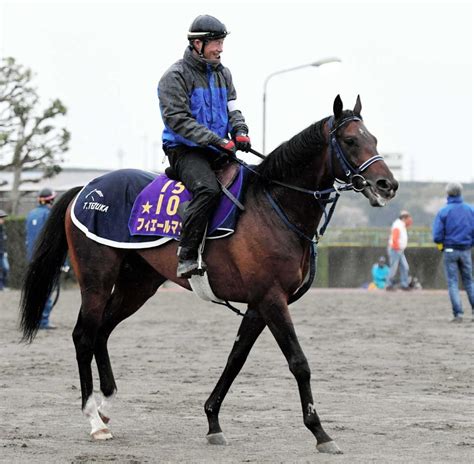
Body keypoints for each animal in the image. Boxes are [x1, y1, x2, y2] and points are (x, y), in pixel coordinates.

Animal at [19, 94, 396, 454]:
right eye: (350, 140)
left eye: (374, 139)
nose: (387, 184)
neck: (273, 206)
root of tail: (86, 188)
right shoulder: (272, 299)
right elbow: (298, 362)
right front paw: (320, 432)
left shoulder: (259, 304)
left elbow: (235, 359)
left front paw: (213, 421)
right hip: (97, 280)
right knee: (84, 335)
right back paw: (94, 419)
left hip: (137, 284)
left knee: (102, 332)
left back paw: (106, 404)